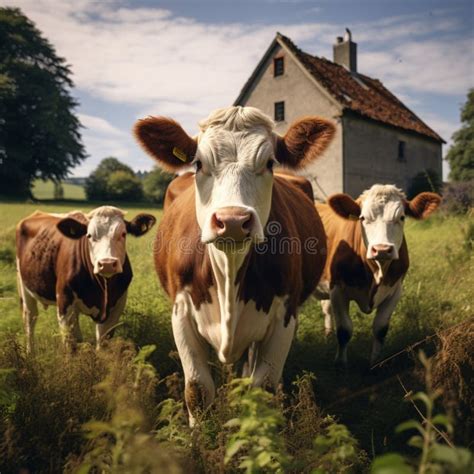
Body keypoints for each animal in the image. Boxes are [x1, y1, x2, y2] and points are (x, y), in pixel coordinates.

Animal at [14, 206, 155, 354]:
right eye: (89, 236)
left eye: (123, 234)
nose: (107, 263)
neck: (103, 290)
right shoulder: (65, 304)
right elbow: (72, 345)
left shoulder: (116, 306)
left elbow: (103, 344)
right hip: (23, 285)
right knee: (30, 319)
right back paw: (30, 353)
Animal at [132, 104, 334, 422]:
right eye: (199, 164)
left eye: (270, 163)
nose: (233, 220)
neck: (229, 271)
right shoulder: (181, 311)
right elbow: (197, 390)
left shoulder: (285, 316)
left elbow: (263, 389)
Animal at [314, 185, 440, 366]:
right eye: (363, 218)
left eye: (402, 217)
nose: (381, 249)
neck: (376, 272)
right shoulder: (337, 289)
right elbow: (344, 330)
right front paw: (341, 363)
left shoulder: (395, 290)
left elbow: (380, 328)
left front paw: (376, 362)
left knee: (326, 309)